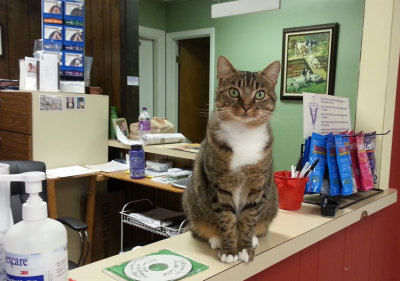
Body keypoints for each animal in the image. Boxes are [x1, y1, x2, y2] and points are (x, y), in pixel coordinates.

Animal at [182, 55, 280, 262]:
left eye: (260, 94)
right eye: (233, 92)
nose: (246, 106)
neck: (243, 134)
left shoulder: (257, 184)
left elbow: (249, 218)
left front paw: (245, 247)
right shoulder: (220, 184)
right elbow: (226, 219)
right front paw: (229, 250)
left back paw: (254, 239)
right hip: (192, 203)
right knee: (199, 228)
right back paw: (215, 239)